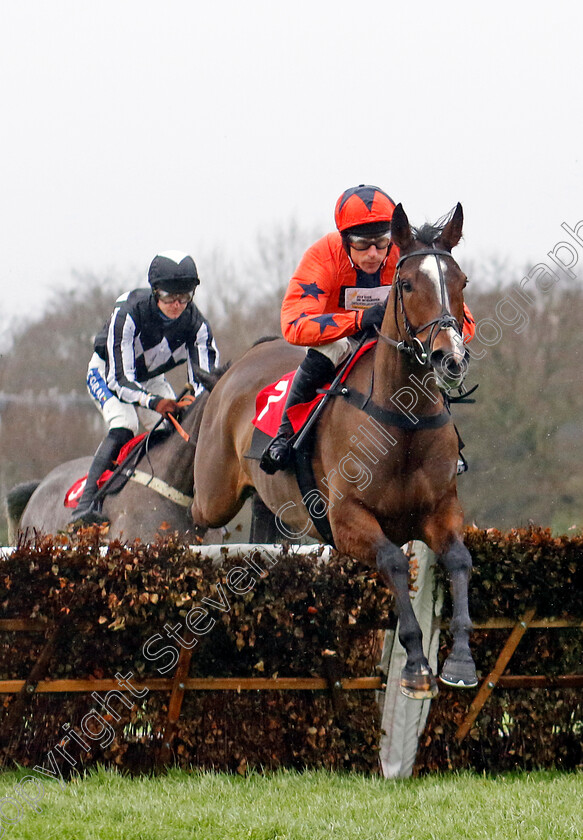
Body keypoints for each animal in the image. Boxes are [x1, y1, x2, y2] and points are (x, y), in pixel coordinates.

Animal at [192, 205, 480, 704]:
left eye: (460, 281)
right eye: (407, 285)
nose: (450, 359)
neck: (402, 420)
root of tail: (244, 362)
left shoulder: (441, 510)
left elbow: (459, 560)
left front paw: (460, 662)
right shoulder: (347, 520)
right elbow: (393, 561)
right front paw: (416, 666)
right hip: (214, 494)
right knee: (195, 511)